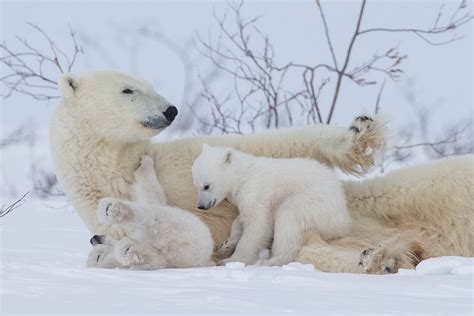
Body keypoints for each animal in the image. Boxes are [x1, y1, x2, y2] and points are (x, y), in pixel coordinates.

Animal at [192, 144, 352, 266]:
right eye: (196, 184)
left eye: (206, 186)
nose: (201, 206)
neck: (243, 175)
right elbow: (241, 218)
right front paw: (227, 243)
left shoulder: (255, 190)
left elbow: (258, 224)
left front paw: (231, 260)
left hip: (314, 204)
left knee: (288, 218)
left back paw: (272, 261)